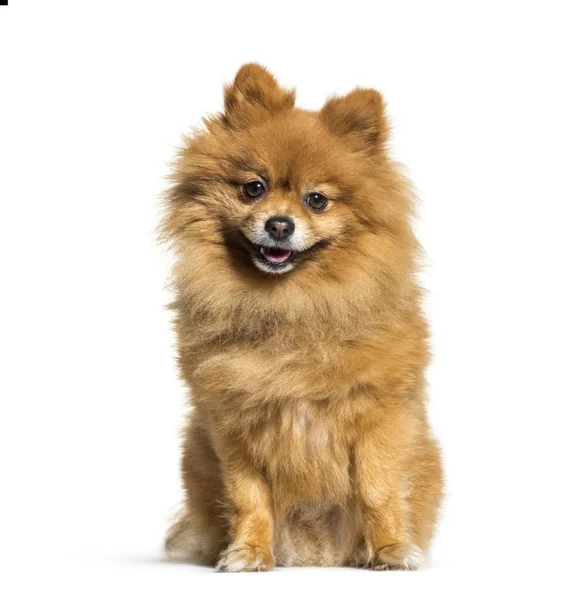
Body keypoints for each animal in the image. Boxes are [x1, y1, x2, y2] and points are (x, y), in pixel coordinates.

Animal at [161, 65, 442, 572]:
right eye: (254, 188)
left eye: (316, 200)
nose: (278, 224)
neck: (291, 305)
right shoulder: (234, 425)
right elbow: (247, 498)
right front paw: (249, 552)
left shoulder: (380, 417)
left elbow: (379, 488)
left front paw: (390, 550)